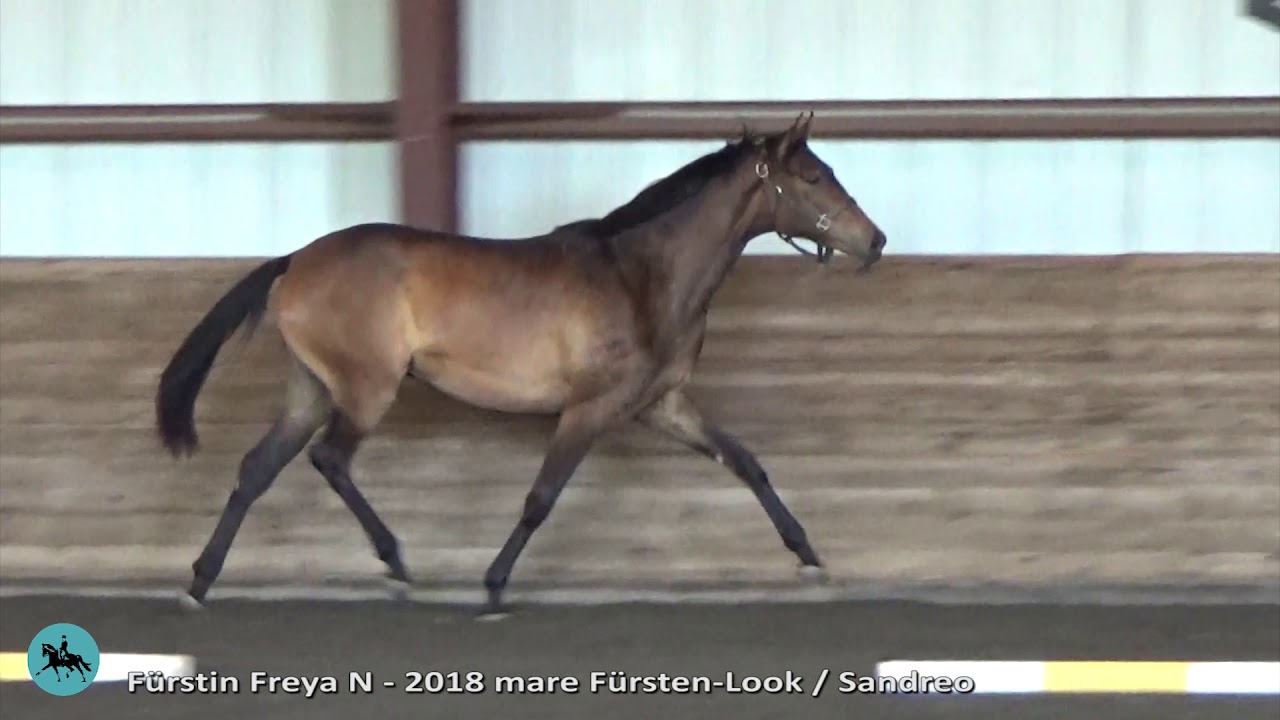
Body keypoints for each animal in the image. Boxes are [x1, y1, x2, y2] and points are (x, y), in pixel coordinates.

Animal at [155, 112, 888, 617]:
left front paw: (809, 557)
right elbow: (541, 499)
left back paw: (200, 582)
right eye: (814, 178)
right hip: (366, 389)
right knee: (329, 460)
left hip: (311, 389)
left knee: (257, 469)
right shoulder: (589, 409)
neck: (640, 276)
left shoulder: (663, 404)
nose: (876, 241)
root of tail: (294, 262)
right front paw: (492, 587)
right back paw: (396, 563)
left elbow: (746, 463)